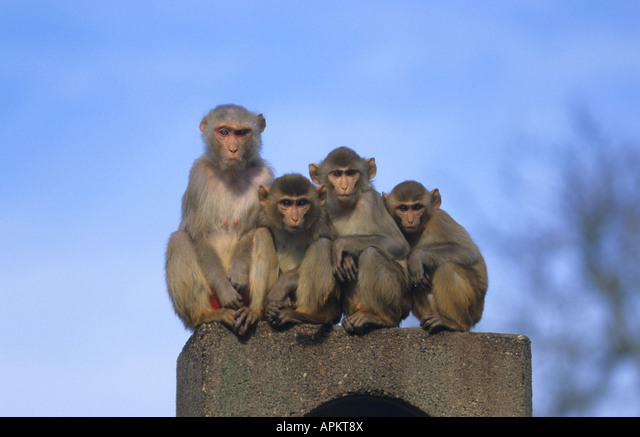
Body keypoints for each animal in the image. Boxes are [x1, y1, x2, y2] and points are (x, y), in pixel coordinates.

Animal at [165, 104, 274, 335]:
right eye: (223, 132)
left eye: (241, 133)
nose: (232, 149)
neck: (231, 173)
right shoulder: (198, 177)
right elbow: (198, 235)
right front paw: (226, 291)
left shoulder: (265, 179)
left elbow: (255, 228)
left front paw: (238, 273)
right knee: (178, 240)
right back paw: (206, 314)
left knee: (263, 235)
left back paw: (253, 311)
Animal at [256, 174, 342, 327]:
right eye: (286, 203)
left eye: (302, 203)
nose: (295, 218)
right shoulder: (264, 217)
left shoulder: (321, 221)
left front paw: (282, 285)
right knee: (261, 232)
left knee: (322, 244)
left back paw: (300, 315)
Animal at [309, 147, 411, 334]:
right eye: (336, 174)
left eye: (351, 173)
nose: (344, 186)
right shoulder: (323, 208)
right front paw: (346, 256)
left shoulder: (371, 200)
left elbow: (397, 244)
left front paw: (342, 245)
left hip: (401, 299)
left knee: (371, 254)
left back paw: (381, 318)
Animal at [383, 181, 488, 333]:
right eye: (403, 208)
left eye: (417, 207)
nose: (410, 220)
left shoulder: (441, 220)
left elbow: (467, 250)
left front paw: (416, 257)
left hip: (472, 307)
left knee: (447, 267)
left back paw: (455, 324)